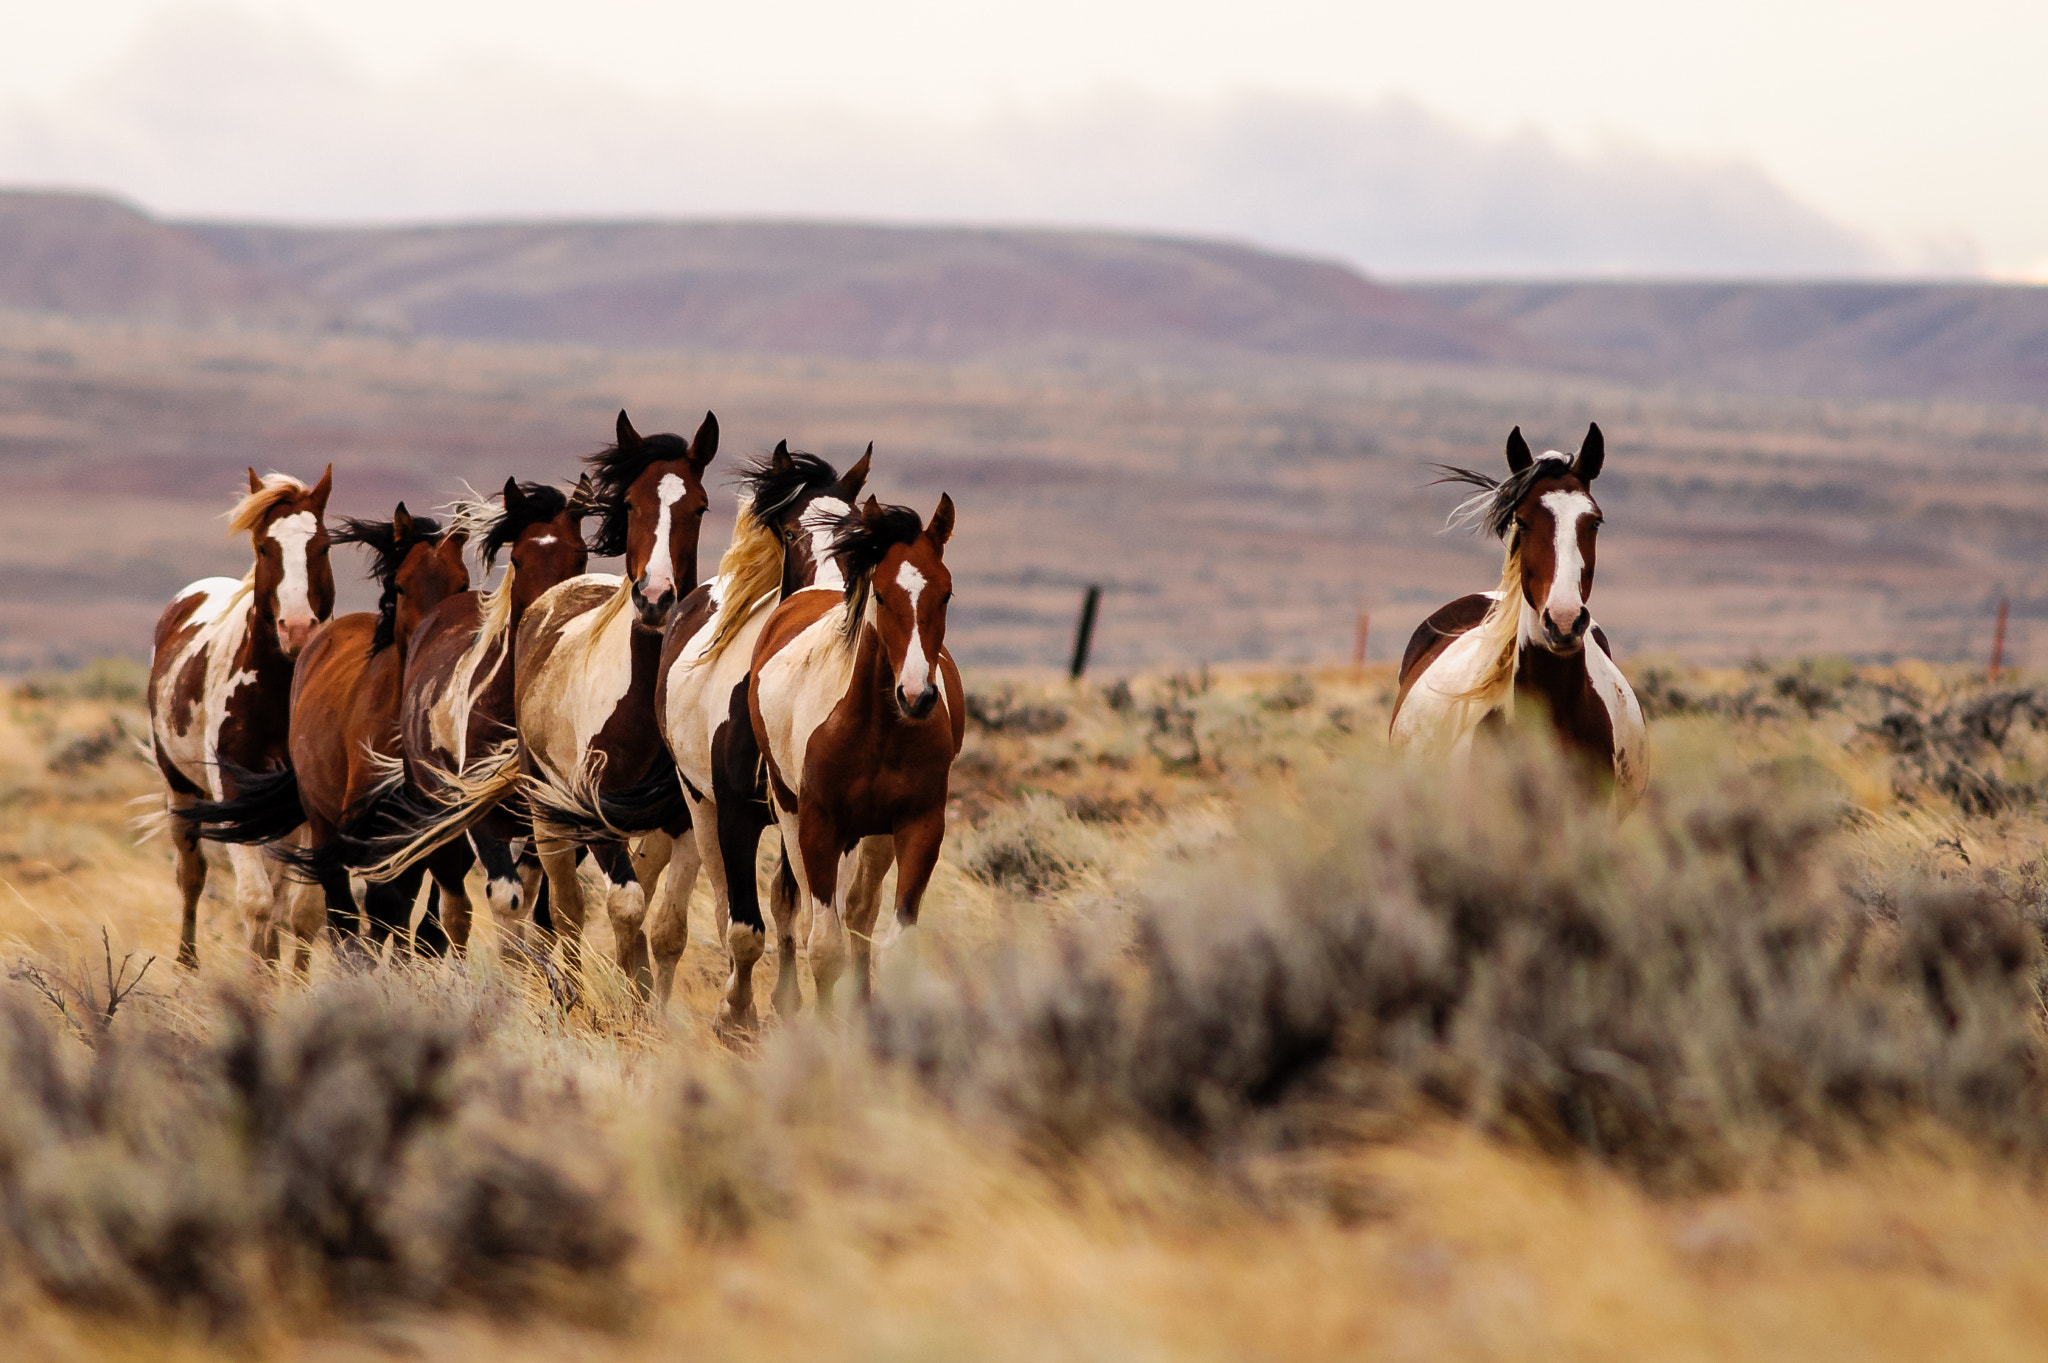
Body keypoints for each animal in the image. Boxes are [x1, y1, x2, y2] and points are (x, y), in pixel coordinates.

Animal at [148, 466, 333, 965]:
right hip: (180, 789)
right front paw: (258, 982)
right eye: (264, 547)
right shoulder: (231, 789)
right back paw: (187, 966)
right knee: (191, 876)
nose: (297, 629)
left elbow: (304, 910)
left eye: (324, 546)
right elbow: (255, 902)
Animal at [391, 472, 589, 949]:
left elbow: (543, 911)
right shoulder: (483, 819)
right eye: (517, 557)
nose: (548, 619)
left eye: (581, 554)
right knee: (452, 912)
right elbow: (505, 902)